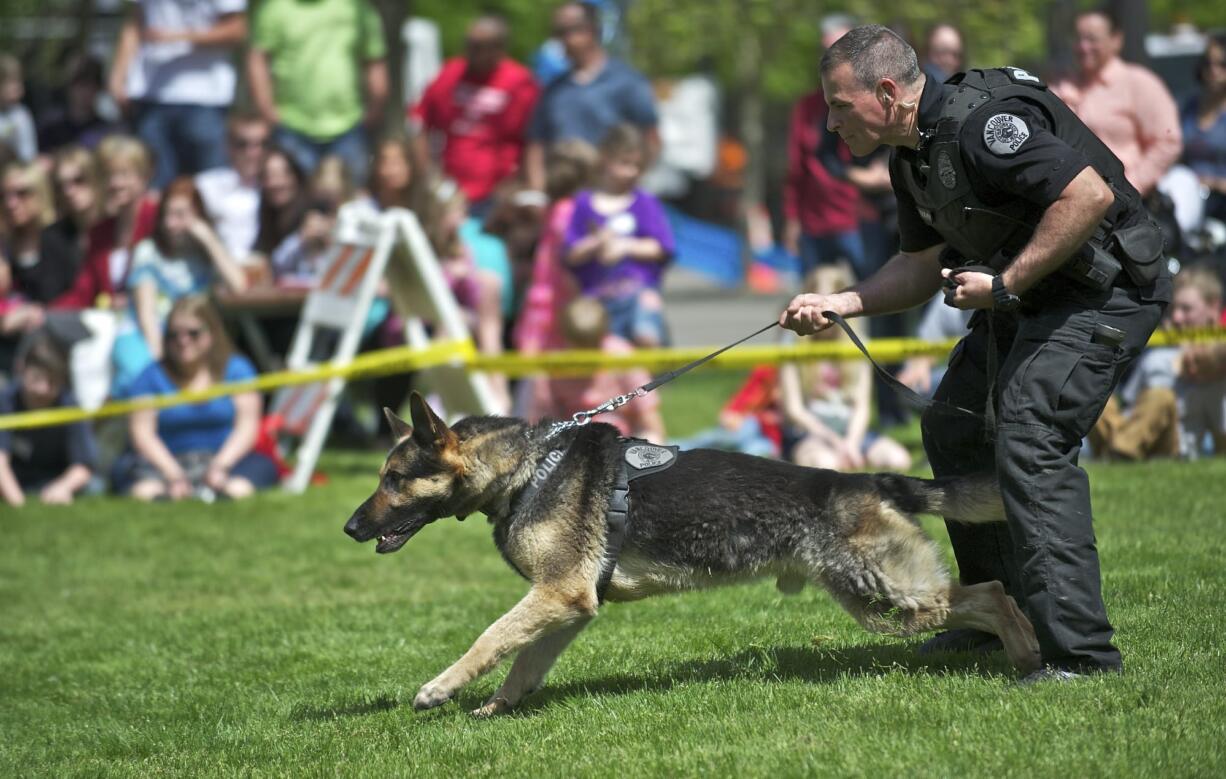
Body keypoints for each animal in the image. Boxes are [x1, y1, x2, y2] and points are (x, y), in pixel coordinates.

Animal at [348, 392, 1044, 716]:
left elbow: (489, 639)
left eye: (394, 479)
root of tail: (866, 479)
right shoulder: (569, 604)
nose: (351, 528)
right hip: (876, 599)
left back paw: (1031, 659)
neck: (524, 469)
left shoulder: (555, 595)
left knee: (993, 595)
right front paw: (498, 708)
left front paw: (439, 690)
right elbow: (524, 662)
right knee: (984, 596)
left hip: (887, 594)